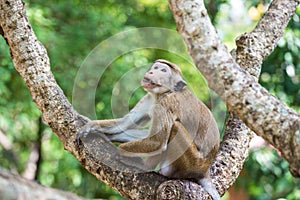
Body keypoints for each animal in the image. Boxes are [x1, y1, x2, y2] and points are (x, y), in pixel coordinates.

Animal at [78, 59, 220, 200]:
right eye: (155, 67)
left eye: (163, 70)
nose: (151, 72)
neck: (162, 94)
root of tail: (205, 171)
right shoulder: (149, 98)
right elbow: (125, 123)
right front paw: (93, 127)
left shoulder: (165, 105)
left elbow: (157, 141)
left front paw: (120, 151)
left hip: (193, 163)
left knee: (174, 128)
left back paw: (145, 166)